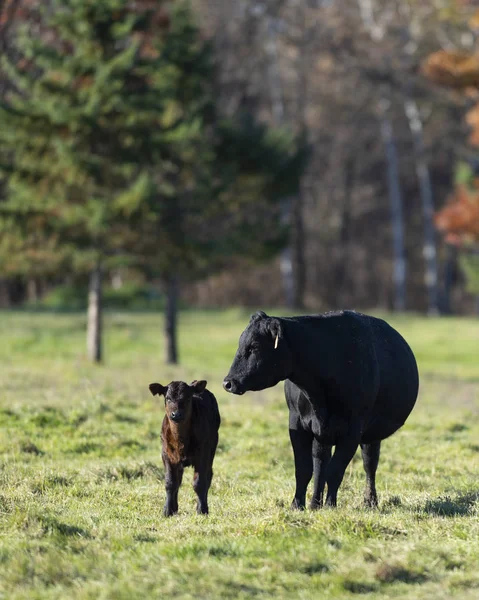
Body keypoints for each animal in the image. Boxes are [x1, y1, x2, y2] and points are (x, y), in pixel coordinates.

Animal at [223, 312, 418, 508]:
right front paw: (297, 505)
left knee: (369, 464)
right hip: (323, 436)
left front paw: (330, 505)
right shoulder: (297, 423)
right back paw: (315, 504)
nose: (228, 383)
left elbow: (335, 470)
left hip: (369, 433)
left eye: (254, 346)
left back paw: (369, 502)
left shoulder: (353, 430)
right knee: (321, 465)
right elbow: (304, 470)